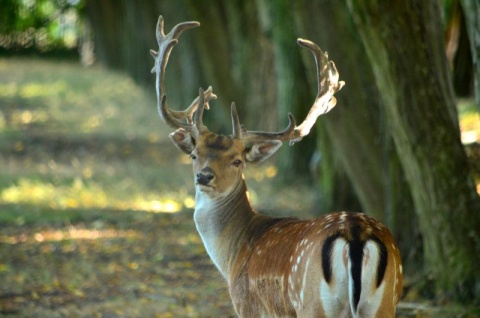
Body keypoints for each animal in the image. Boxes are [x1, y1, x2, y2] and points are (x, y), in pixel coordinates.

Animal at [149, 16, 402, 318]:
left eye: (237, 160)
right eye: (195, 155)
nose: (204, 176)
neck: (233, 255)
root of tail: (355, 234)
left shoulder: (248, 306)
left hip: (311, 304)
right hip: (385, 302)